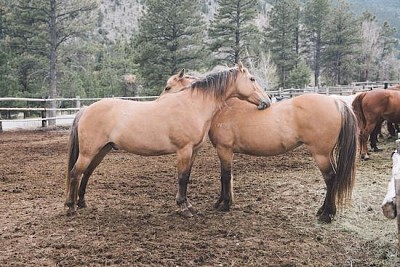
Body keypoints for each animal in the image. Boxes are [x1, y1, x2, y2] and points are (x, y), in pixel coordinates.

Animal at [66, 63, 272, 218]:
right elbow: (182, 178)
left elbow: (187, 177)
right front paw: (183, 208)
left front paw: (188, 205)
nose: (267, 100)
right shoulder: (184, 150)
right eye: (252, 79)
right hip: (88, 152)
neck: (193, 105)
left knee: (86, 174)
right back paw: (70, 207)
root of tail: (86, 109)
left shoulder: (193, 151)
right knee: (75, 173)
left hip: (101, 151)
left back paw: (81, 202)